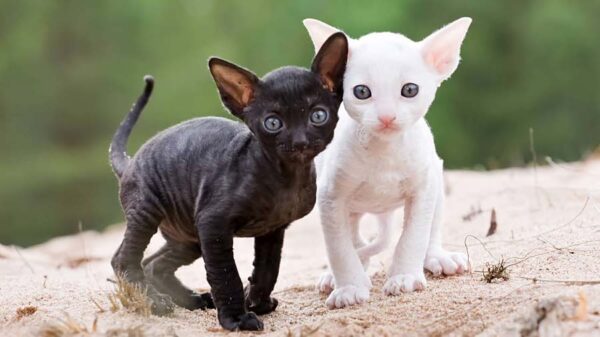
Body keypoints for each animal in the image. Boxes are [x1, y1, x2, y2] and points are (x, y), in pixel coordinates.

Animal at [110, 32, 350, 330]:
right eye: (273, 123)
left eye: (317, 115)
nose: (300, 142)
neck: (287, 178)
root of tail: (130, 161)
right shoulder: (213, 225)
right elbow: (225, 275)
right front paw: (237, 318)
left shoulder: (273, 229)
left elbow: (268, 269)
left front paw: (258, 303)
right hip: (148, 211)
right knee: (123, 259)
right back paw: (155, 302)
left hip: (188, 235)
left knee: (153, 264)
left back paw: (193, 300)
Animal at [304, 17, 474, 308]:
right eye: (362, 92)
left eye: (410, 90)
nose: (386, 117)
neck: (383, 151)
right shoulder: (329, 196)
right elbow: (339, 249)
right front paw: (349, 287)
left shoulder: (423, 189)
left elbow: (413, 236)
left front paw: (404, 277)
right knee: (355, 239)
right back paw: (336, 276)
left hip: (436, 180)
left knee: (431, 227)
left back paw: (437, 257)